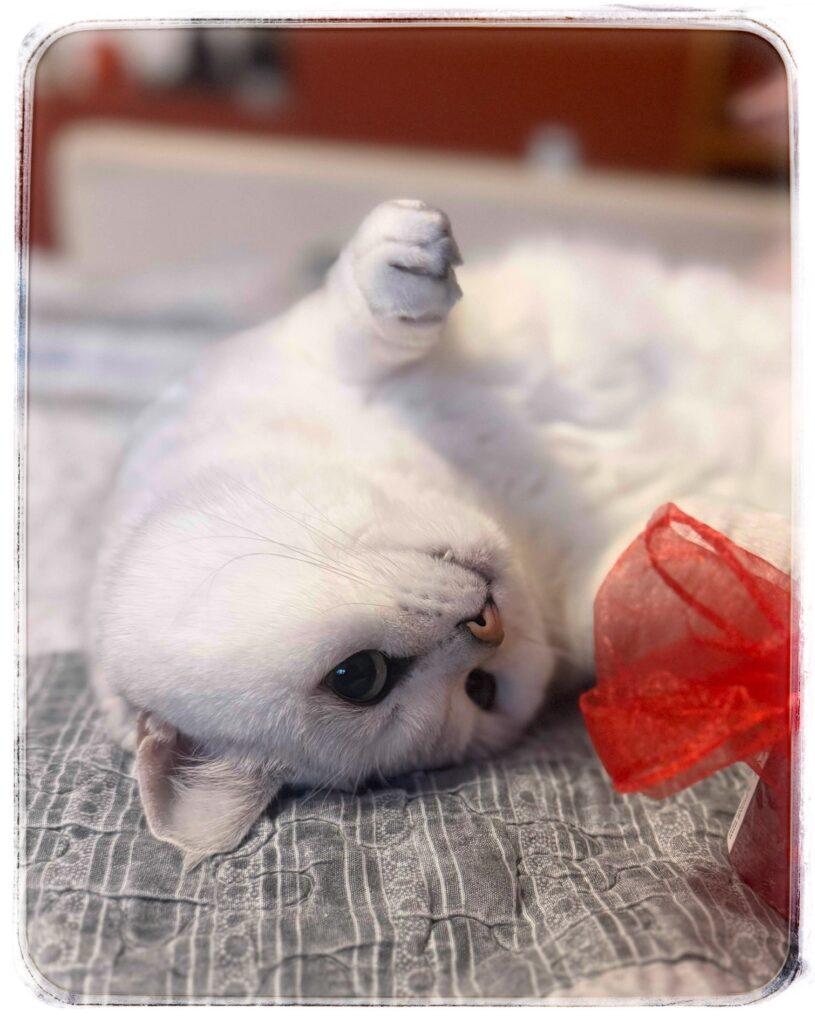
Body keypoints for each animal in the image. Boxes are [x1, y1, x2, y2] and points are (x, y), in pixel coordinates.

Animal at [89, 199, 790, 864]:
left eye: (355, 677)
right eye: (482, 690)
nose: (487, 623)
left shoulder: (282, 358)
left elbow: (352, 319)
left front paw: (402, 258)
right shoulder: (590, 594)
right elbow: (645, 574)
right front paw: (755, 553)